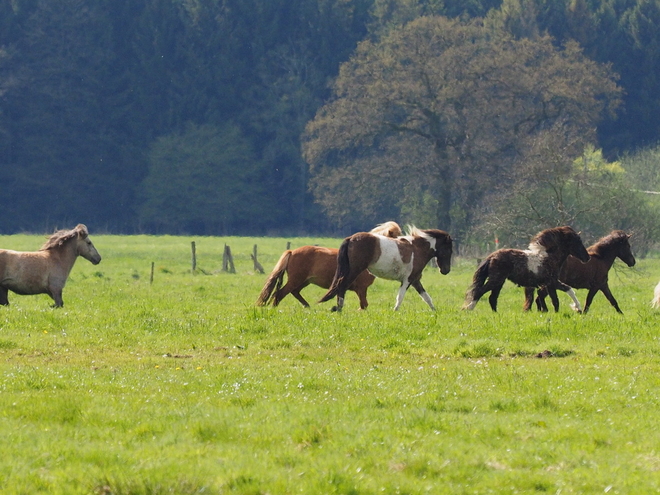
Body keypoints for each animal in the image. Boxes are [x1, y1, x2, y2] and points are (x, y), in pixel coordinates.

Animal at [256, 222, 402, 310]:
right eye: (397, 237)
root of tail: (291, 252)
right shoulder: (361, 288)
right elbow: (364, 305)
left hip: (304, 281)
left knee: (294, 292)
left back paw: (308, 307)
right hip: (296, 279)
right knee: (280, 293)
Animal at [318, 227, 452, 312]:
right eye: (449, 250)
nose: (446, 271)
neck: (417, 249)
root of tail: (351, 238)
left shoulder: (415, 280)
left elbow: (426, 297)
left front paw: (435, 311)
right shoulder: (407, 280)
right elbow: (400, 297)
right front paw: (395, 311)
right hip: (355, 270)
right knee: (342, 285)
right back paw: (339, 308)